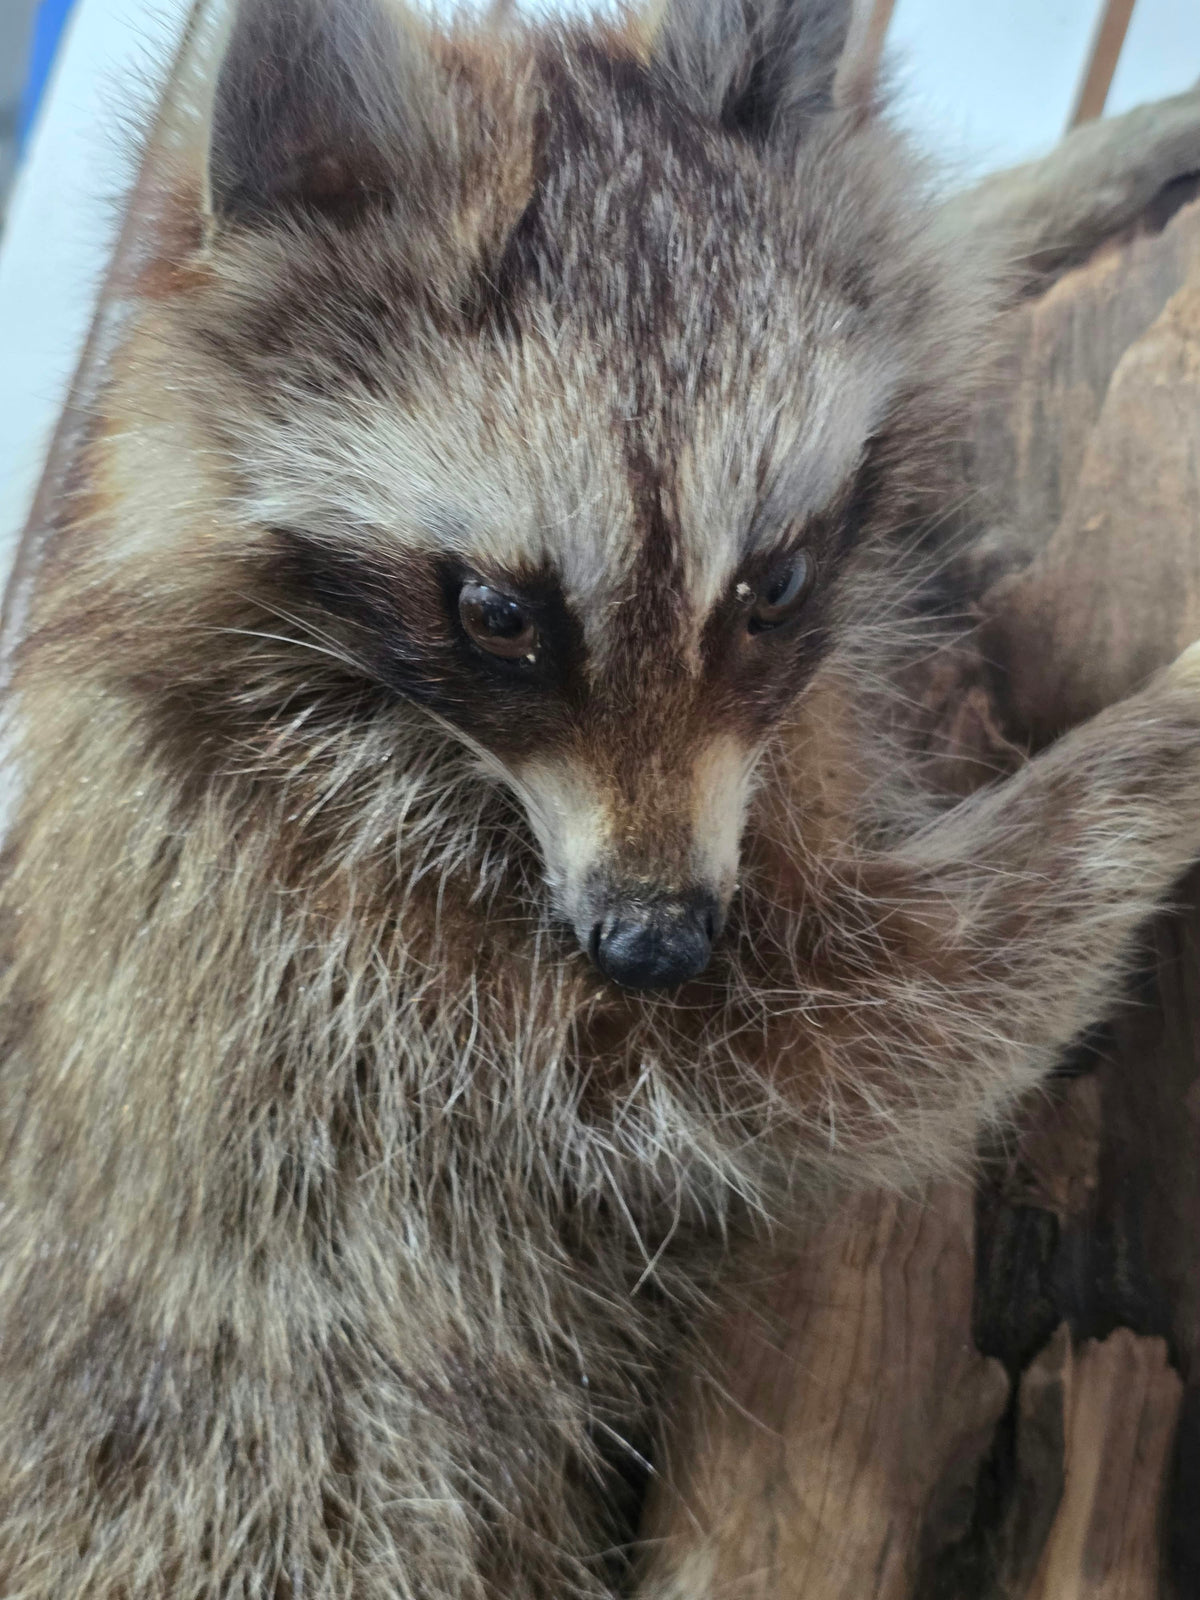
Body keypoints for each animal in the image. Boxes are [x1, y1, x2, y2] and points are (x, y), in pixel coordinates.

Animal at [2, 0, 1200, 1594]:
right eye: (497, 615)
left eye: (774, 586)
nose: (655, 942)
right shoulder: (337, 915)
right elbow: (855, 1037)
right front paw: (1164, 732)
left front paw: (1083, 170)